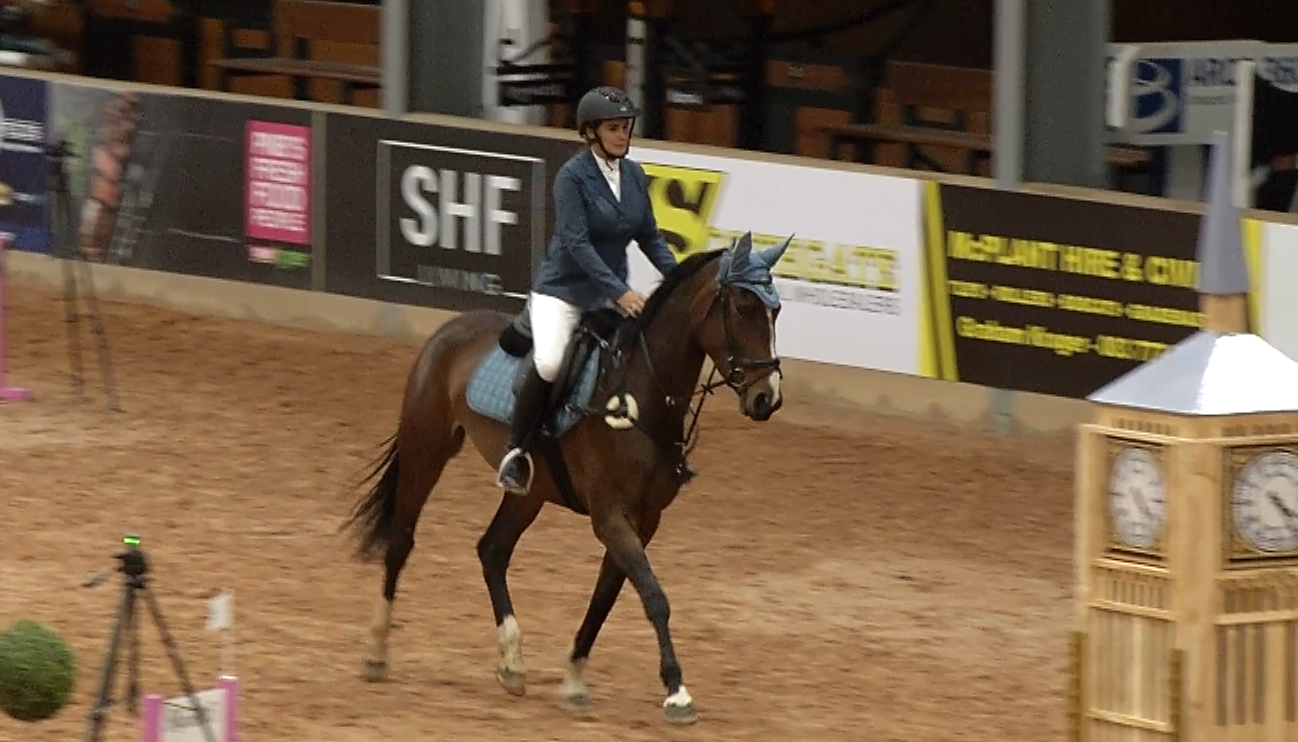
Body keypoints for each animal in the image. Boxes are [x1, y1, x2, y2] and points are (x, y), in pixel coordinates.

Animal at [342, 231, 791, 725]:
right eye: (743, 308)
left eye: (775, 312)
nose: (767, 399)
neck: (639, 394)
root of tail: (450, 329)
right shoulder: (610, 516)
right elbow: (654, 597)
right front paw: (677, 692)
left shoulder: (643, 521)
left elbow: (605, 598)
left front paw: (574, 680)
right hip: (427, 449)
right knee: (401, 542)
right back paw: (377, 653)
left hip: (529, 490)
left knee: (492, 550)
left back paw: (512, 663)